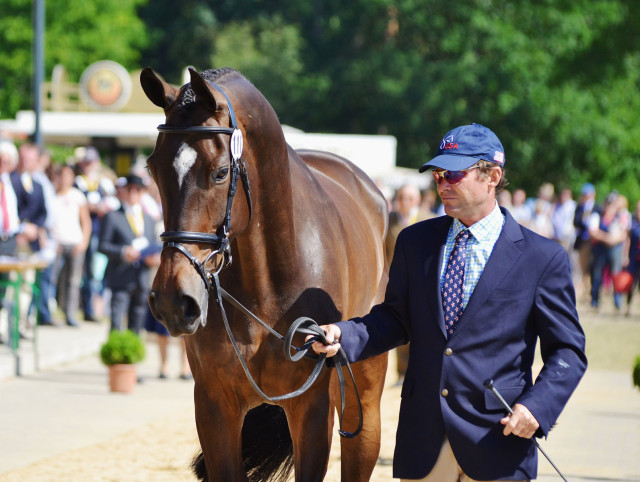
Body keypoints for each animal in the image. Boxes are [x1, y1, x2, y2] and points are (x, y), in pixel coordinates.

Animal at [142, 65, 388, 482]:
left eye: (221, 172)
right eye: (153, 168)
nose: (174, 301)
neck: (265, 285)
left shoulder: (311, 409)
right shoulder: (214, 407)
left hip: (363, 405)